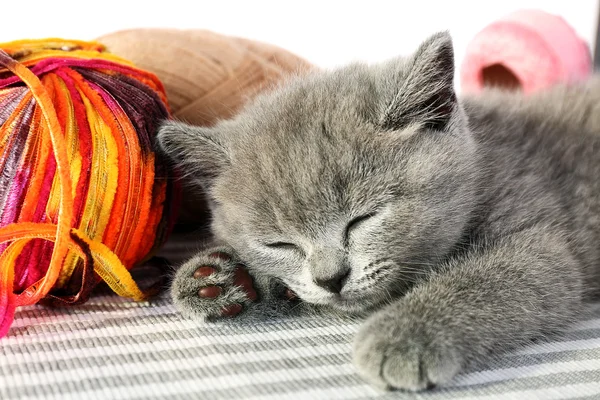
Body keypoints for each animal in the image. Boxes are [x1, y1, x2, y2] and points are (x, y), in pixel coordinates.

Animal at [156, 32, 600, 392]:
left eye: (363, 218)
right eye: (279, 244)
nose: (331, 278)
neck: (485, 160)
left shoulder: (540, 237)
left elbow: (487, 280)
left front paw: (405, 334)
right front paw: (222, 278)